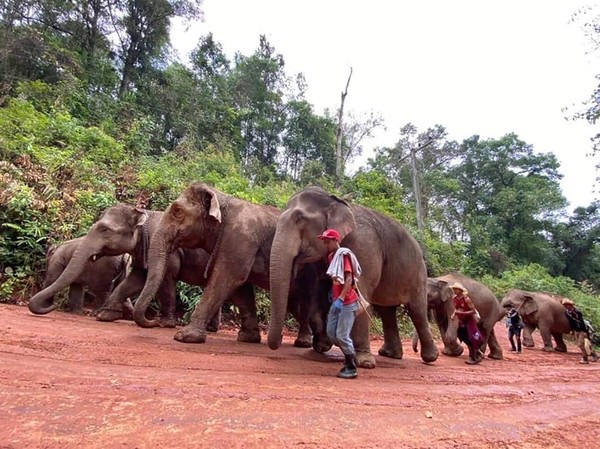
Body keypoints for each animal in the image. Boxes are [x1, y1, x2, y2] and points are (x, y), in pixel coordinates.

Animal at [130, 182, 332, 350]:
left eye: (177, 210)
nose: (155, 322)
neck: (221, 197)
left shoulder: (239, 239)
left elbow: (227, 277)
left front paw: (184, 337)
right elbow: (242, 288)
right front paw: (248, 338)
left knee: (307, 303)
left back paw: (305, 343)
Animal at [266, 186, 436, 368]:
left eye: (299, 220)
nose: (280, 338)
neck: (335, 201)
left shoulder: (364, 247)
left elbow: (358, 290)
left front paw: (364, 362)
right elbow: (321, 289)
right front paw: (322, 346)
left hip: (418, 274)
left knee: (417, 310)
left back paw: (430, 358)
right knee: (386, 311)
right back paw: (390, 354)